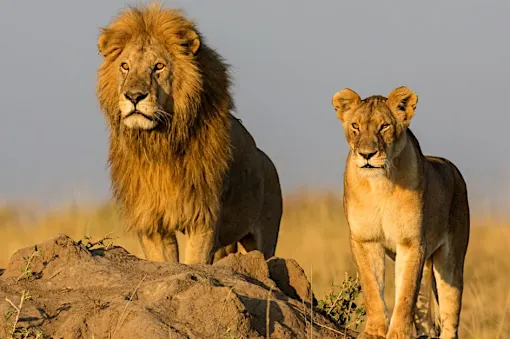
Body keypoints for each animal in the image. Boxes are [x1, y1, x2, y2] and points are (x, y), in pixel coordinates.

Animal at [95, 3, 282, 266]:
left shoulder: (203, 217)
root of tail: (266, 160)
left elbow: (195, 261)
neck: (159, 141)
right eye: (125, 66)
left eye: (159, 66)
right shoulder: (151, 221)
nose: (133, 96)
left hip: (264, 237)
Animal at [330, 87, 470, 339]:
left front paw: (398, 333)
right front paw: (374, 331)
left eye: (384, 126)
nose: (367, 154)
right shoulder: (364, 239)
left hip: (451, 261)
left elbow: (405, 293)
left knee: (449, 313)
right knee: (426, 318)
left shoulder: (411, 242)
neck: (379, 185)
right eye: (355, 126)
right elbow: (372, 288)